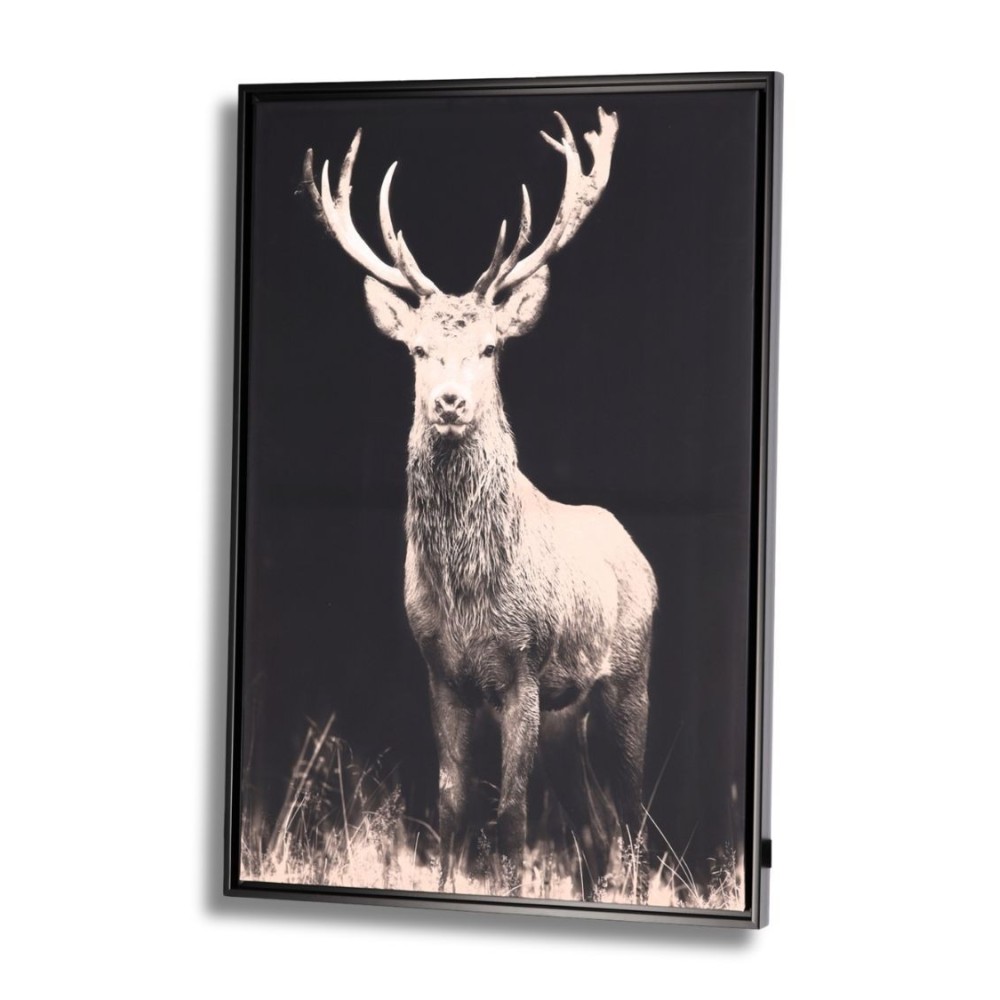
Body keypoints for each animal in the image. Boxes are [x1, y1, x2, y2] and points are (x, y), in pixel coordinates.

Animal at [302, 108, 657, 902]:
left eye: (492, 347)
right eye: (416, 350)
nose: (450, 402)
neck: (470, 595)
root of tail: (639, 554)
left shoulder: (523, 666)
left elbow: (514, 814)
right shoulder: (440, 670)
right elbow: (453, 804)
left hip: (627, 675)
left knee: (632, 816)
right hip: (567, 710)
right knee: (596, 829)